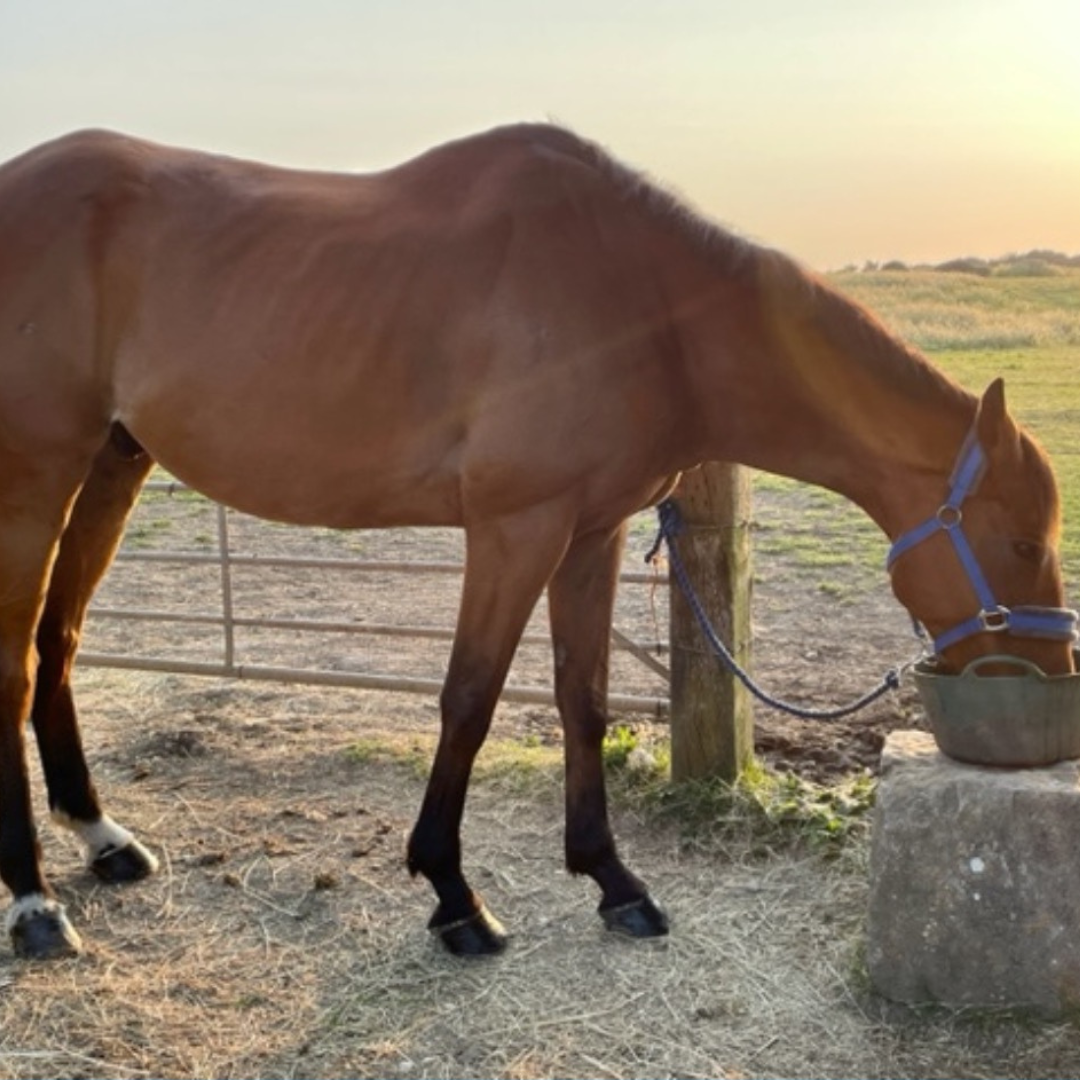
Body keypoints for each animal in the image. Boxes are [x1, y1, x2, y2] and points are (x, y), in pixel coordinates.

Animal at [0, 123, 1074, 961]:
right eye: (1024, 543)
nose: (1053, 683)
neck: (643, 305)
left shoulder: (591, 530)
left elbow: (581, 698)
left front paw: (614, 880)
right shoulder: (516, 528)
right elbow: (470, 699)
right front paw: (453, 897)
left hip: (110, 465)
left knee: (59, 644)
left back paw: (101, 838)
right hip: (35, 477)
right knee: (16, 666)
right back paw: (35, 904)